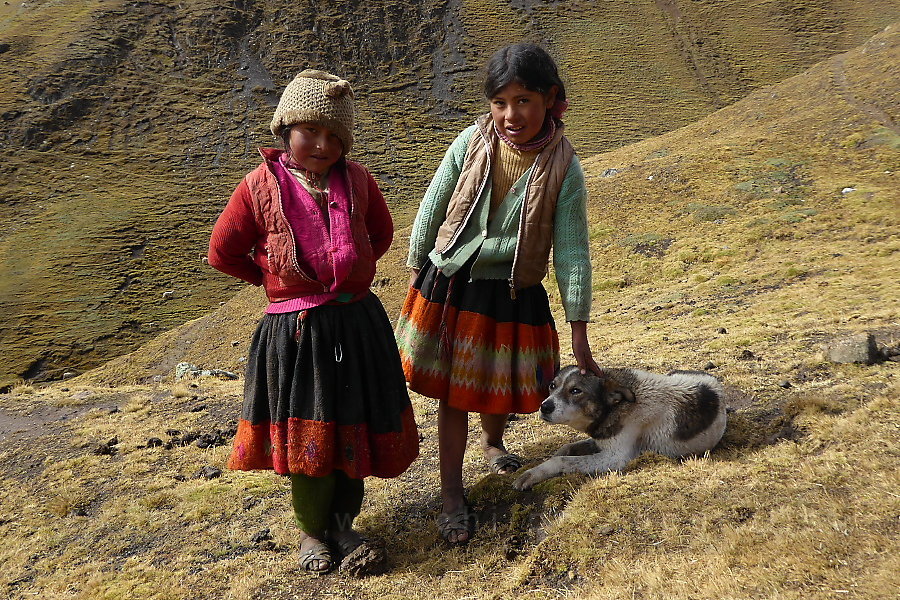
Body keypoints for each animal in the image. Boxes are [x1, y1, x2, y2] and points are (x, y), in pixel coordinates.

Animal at [510, 366, 728, 492]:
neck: (619, 404)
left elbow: (561, 460)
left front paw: (532, 474)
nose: (544, 407)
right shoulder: (602, 439)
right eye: (552, 386)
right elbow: (566, 448)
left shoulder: (615, 458)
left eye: (575, 391)